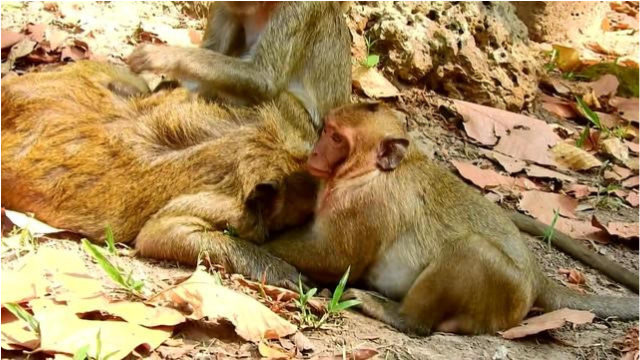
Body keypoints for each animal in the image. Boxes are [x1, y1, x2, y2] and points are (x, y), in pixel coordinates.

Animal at [262, 102, 636, 336]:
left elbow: (334, 259)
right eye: (326, 130)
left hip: (504, 292)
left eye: (337, 138)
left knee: (469, 251)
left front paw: (255, 239)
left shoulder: (363, 206)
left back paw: (401, 316)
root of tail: (535, 277)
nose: (315, 153)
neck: (371, 173)